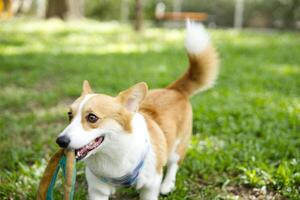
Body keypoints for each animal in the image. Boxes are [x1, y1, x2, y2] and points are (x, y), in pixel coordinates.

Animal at [56, 21, 219, 200]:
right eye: (69, 115)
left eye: (92, 117)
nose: (60, 141)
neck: (113, 155)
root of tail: (174, 90)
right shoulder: (97, 191)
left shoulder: (150, 186)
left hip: (178, 146)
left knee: (174, 163)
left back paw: (167, 184)